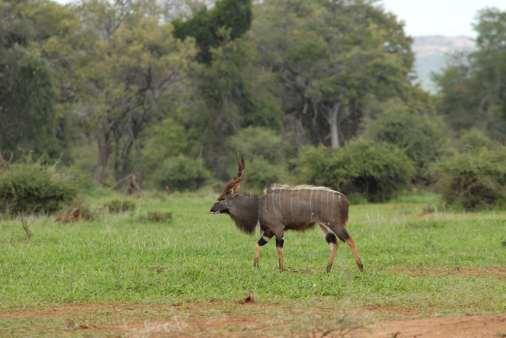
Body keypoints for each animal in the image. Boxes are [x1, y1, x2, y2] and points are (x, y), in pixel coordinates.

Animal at [211, 158, 364, 272]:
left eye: (222, 198)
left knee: (350, 240)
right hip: (324, 226)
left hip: (335, 224)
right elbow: (258, 244)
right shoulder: (268, 231)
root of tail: (344, 200)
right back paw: (327, 269)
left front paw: (281, 269)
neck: (259, 205)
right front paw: (256, 266)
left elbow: (279, 248)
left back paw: (361, 268)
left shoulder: (278, 229)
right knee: (335, 243)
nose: (211, 209)